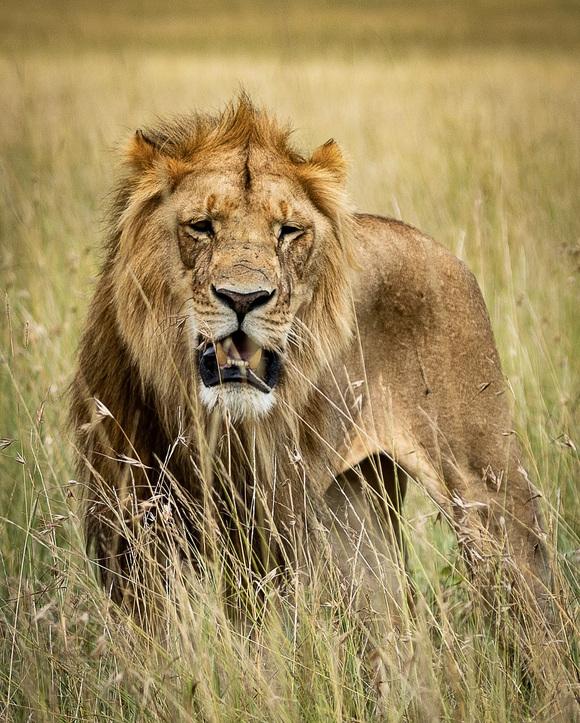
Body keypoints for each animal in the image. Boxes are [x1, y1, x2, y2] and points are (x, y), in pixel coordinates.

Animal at [70, 97, 556, 668]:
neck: (201, 413)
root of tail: (439, 249)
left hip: (488, 495)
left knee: (539, 621)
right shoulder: (128, 536)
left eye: (288, 231)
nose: (243, 298)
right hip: (352, 517)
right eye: (202, 226)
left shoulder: (264, 534)